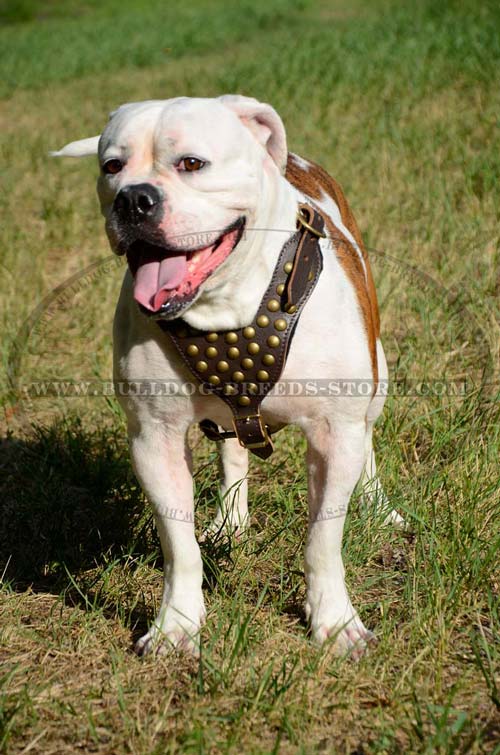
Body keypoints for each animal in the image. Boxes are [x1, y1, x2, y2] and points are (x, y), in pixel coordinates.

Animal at [52, 96, 400, 660]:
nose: (133, 199)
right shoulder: (154, 438)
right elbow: (179, 545)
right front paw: (176, 625)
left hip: (377, 376)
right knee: (234, 446)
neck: (226, 303)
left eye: (192, 163)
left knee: (367, 437)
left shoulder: (334, 431)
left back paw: (378, 505)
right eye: (112, 166)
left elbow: (324, 539)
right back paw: (230, 519)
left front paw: (334, 622)